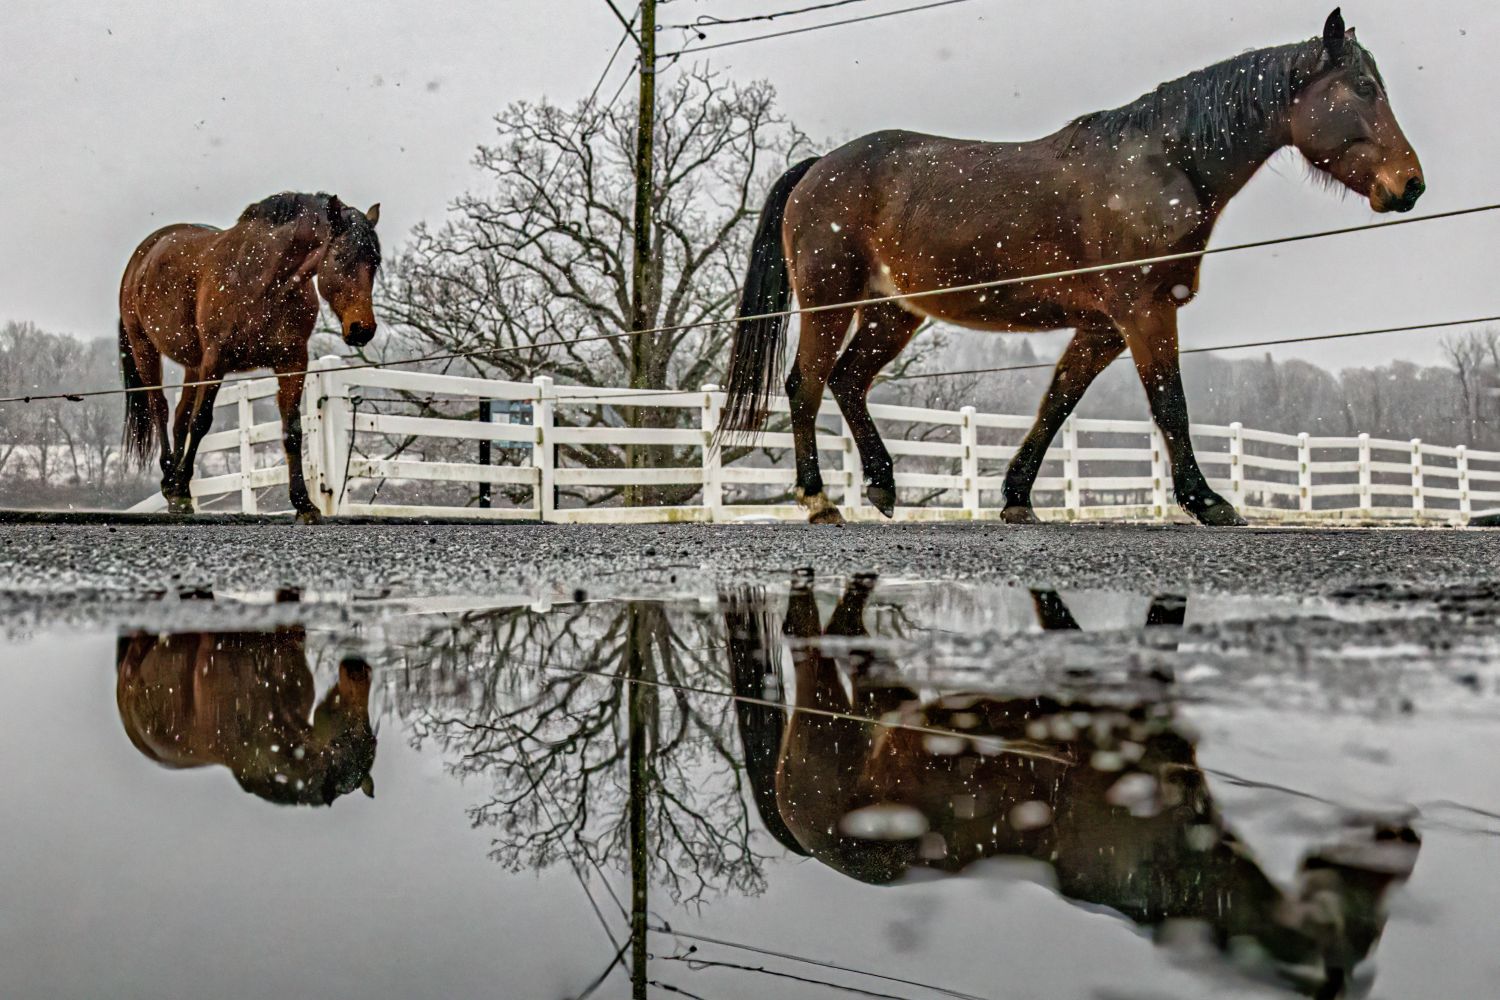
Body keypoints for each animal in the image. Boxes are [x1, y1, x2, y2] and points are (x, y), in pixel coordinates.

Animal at [120, 193, 384, 524]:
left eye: (375, 263)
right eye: (340, 258)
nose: (362, 329)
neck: (264, 280)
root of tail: (143, 255)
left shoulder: (292, 363)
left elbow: (292, 429)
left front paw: (303, 503)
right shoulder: (215, 361)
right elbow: (201, 422)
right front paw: (180, 490)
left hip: (193, 365)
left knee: (179, 417)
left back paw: (175, 488)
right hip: (145, 348)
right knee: (161, 411)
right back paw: (172, 480)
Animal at [720, 11, 1422, 527]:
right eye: (1364, 89)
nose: (1409, 184)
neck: (1161, 163)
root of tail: (817, 168)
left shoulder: (1103, 327)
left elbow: (1056, 404)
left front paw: (1016, 499)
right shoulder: (1143, 313)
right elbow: (1169, 405)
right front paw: (1207, 502)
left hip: (893, 313)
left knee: (848, 382)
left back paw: (883, 487)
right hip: (828, 300)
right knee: (807, 386)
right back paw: (819, 500)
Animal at [723, 575, 1416, 995]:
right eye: (1369, 929)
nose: (1406, 837)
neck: (1174, 871)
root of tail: (807, 837)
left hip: (881, 706)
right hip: (827, 717)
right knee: (806, 640)